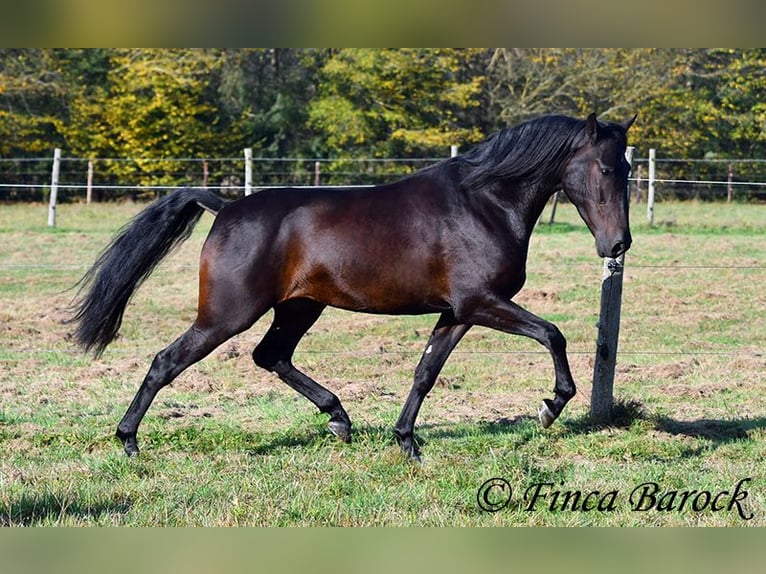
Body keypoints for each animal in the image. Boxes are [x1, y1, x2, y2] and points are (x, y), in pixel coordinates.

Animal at [70, 112, 636, 464]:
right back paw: (128, 442)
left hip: (299, 308)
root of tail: (225, 207)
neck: (484, 203)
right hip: (228, 314)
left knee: (271, 356)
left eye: (630, 168)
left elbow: (425, 372)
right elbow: (553, 333)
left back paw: (339, 420)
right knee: (168, 360)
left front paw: (406, 442)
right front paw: (550, 407)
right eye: (607, 167)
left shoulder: (459, 311)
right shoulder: (483, 302)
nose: (619, 244)